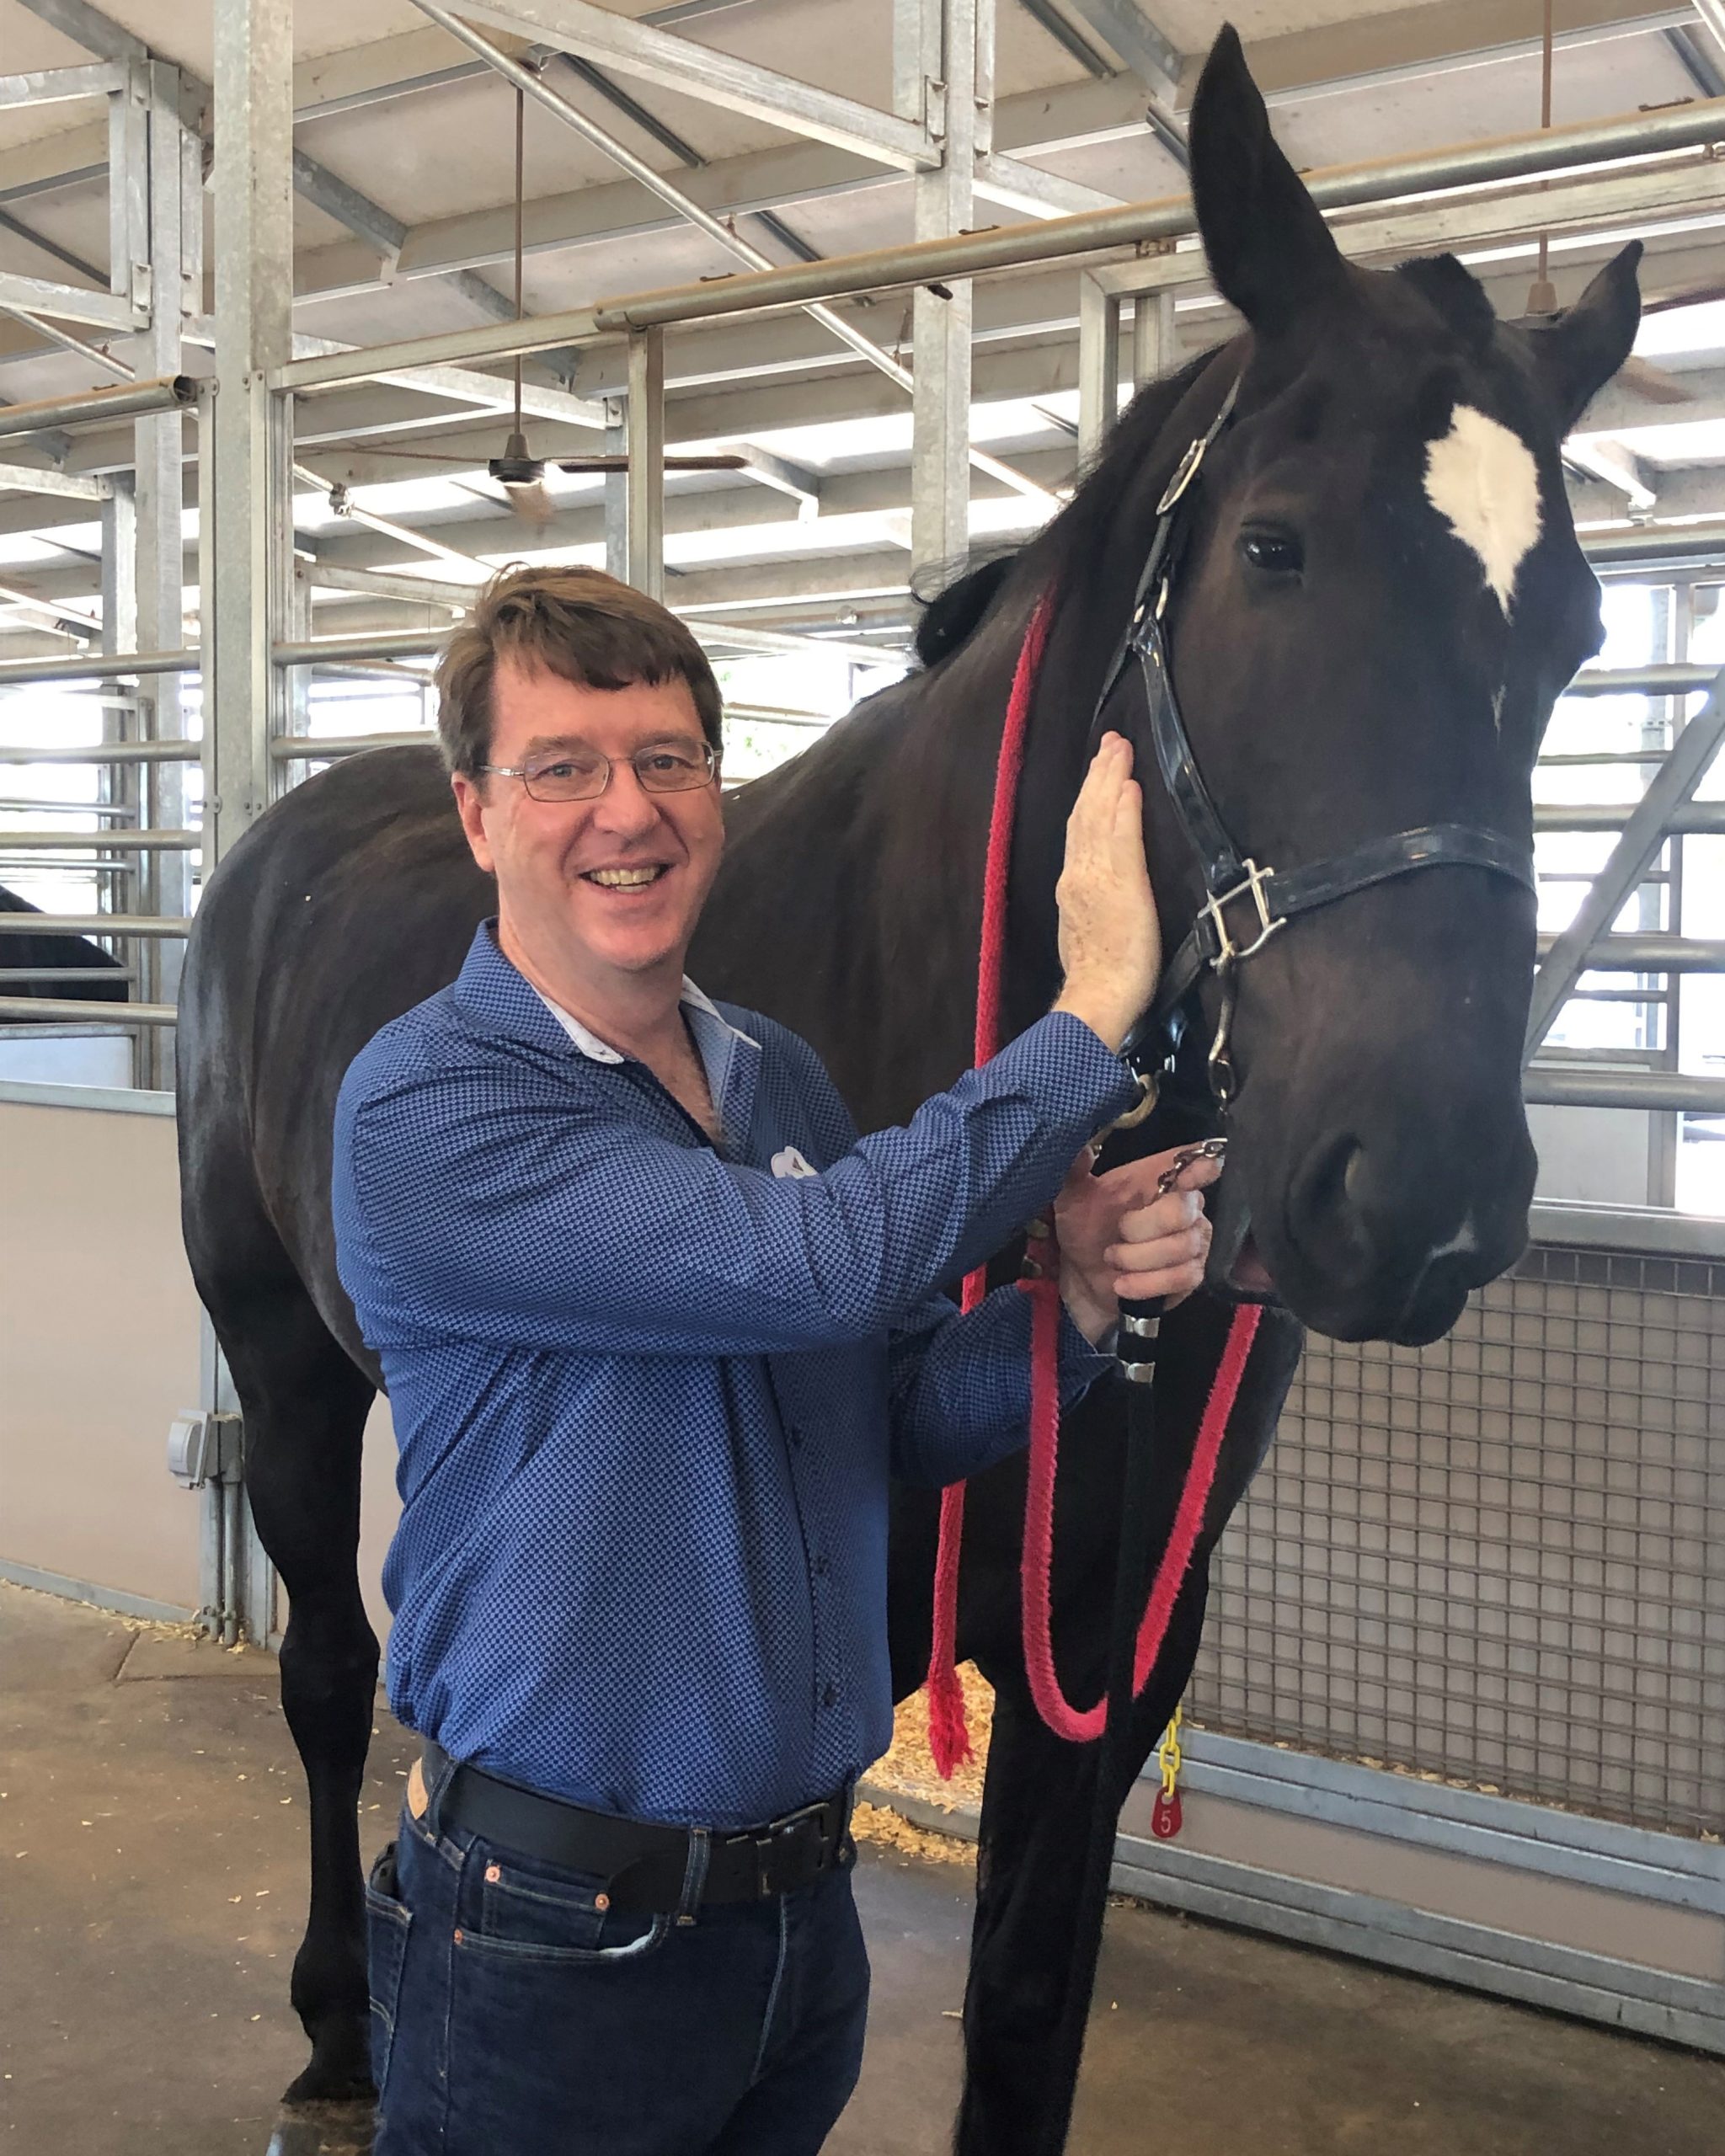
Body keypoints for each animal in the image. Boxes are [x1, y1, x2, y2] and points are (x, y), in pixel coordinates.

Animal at [174, 30, 1640, 2155]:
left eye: (1580, 628)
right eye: (1273, 545)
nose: (1414, 1194)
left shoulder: (1106, 1637)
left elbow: (1024, 2006)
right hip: (282, 1364)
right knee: (328, 1673)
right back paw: (337, 2030)